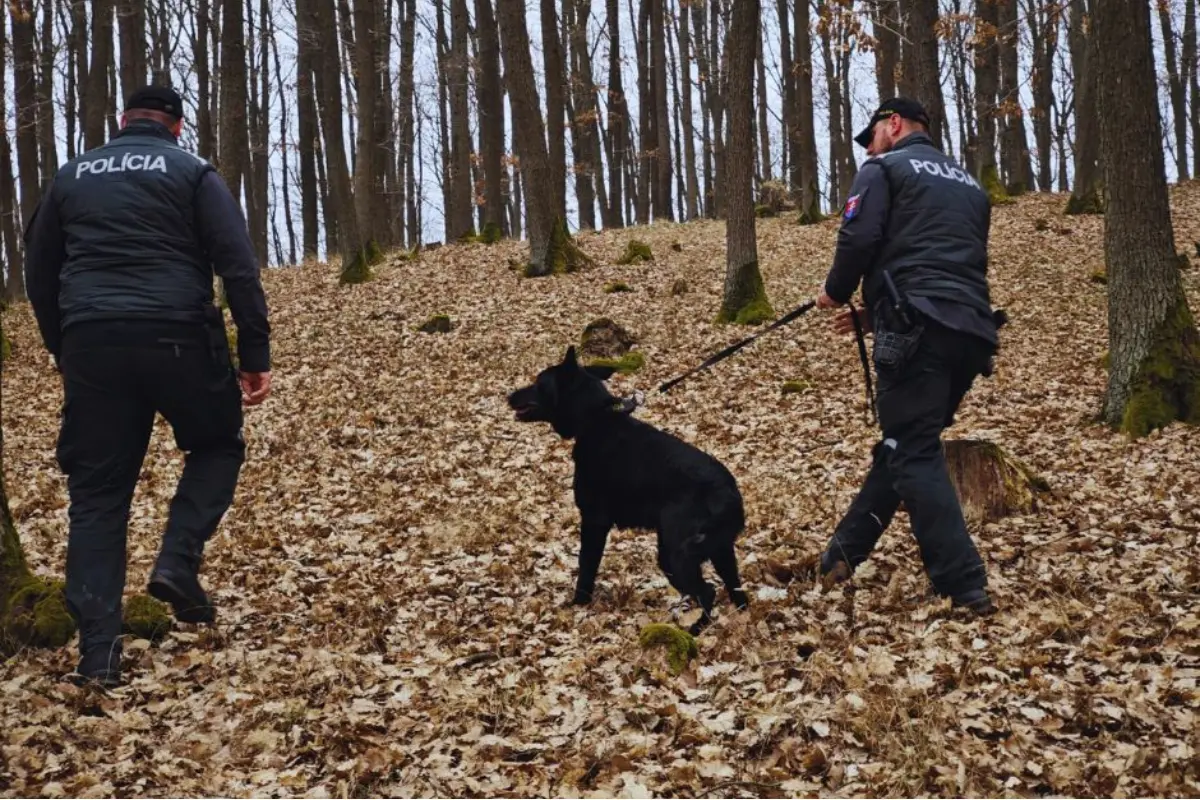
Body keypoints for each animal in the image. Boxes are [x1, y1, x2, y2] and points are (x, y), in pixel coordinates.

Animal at [508, 347, 748, 633]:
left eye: (538, 383)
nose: (509, 396)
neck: (595, 419)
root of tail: (728, 493)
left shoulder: (594, 521)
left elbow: (586, 566)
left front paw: (579, 604)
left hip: (674, 554)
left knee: (708, 592)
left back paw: (694, 631)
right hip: (720, 552)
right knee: (738, 592)